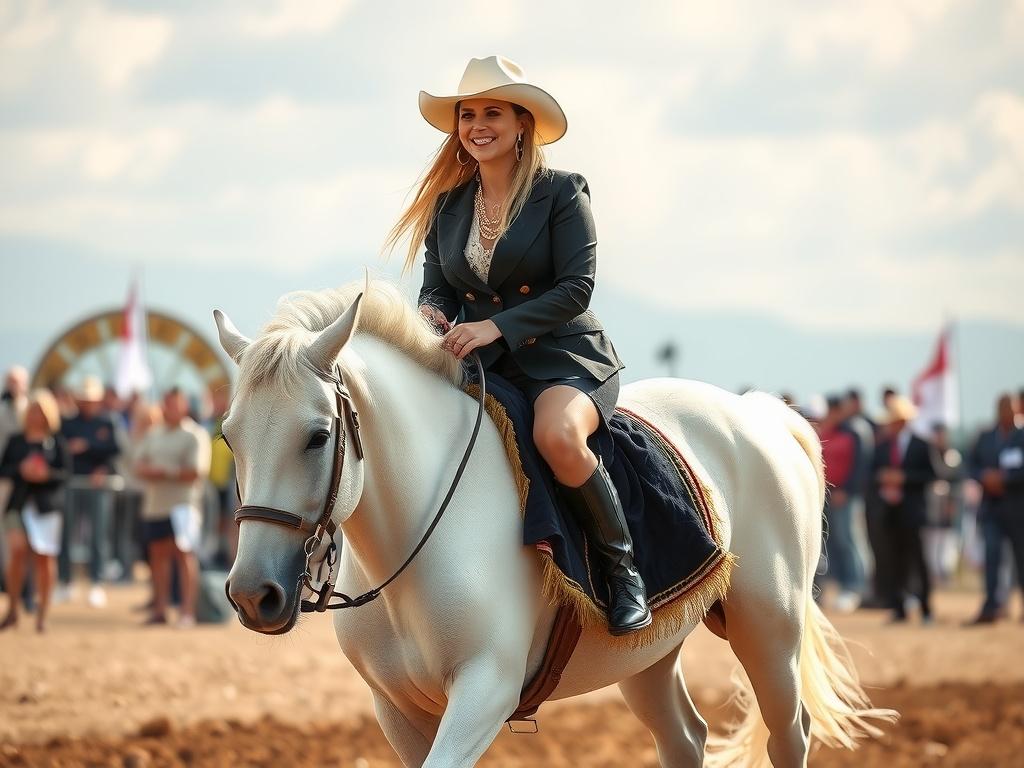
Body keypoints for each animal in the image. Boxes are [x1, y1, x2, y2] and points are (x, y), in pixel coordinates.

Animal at [214, 280, 888, 765]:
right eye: (228, 435)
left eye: (317, 435)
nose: (252, 595)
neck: (415, 540)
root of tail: (760, 413)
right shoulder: (397, 710)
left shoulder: (485, 691)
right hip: (648, 656)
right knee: (685, 737)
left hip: (769, 629)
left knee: (789, 734)